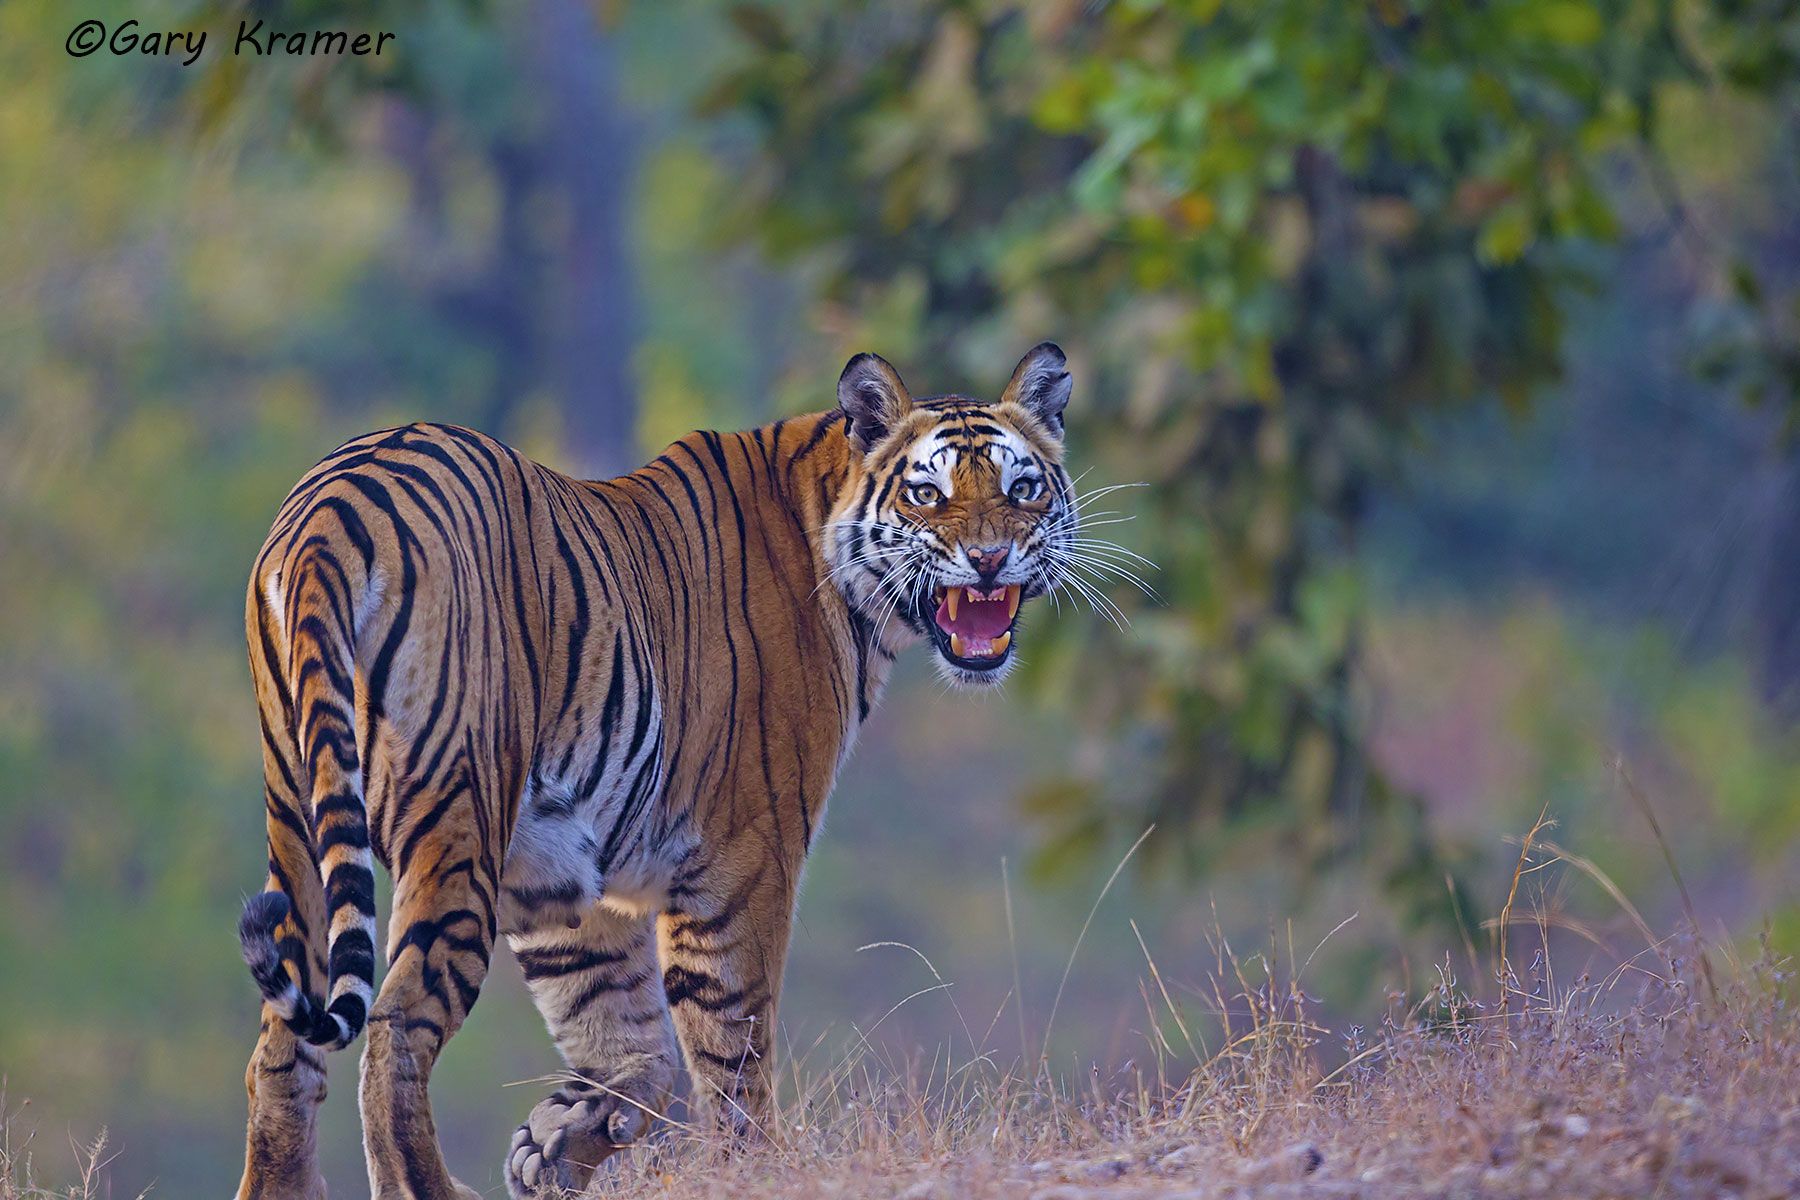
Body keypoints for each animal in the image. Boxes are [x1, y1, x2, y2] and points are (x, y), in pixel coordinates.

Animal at [233, 343, 1080, 1199]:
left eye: (1022, 488)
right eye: (926, 493)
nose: (988, 560)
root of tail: (328, 514)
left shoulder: (559, 872)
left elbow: (631, 1041)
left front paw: (554, 1141)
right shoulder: (743, 858)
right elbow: (730, 1047)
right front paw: (752, 1171)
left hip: (300, 820)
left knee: (283, 1055)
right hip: (456, 820)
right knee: (396, 1024)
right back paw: (431, 1188)